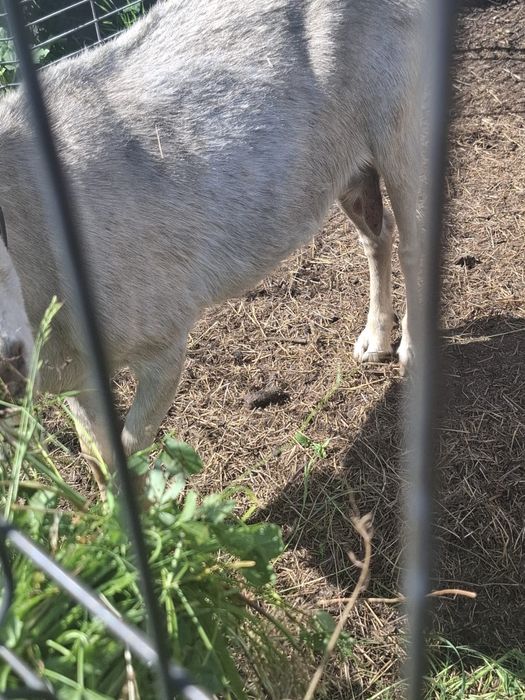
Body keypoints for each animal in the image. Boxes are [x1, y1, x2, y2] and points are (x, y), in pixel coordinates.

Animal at [0, 0, 423, 476]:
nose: (6, 364)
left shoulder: (161, 342)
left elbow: (132, 447)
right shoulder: (74, 373)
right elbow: (99, 455)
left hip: (399, 122)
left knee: (413, 238)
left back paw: (410, 352)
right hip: (346, 164)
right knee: (378, 233)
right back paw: (374, 341)